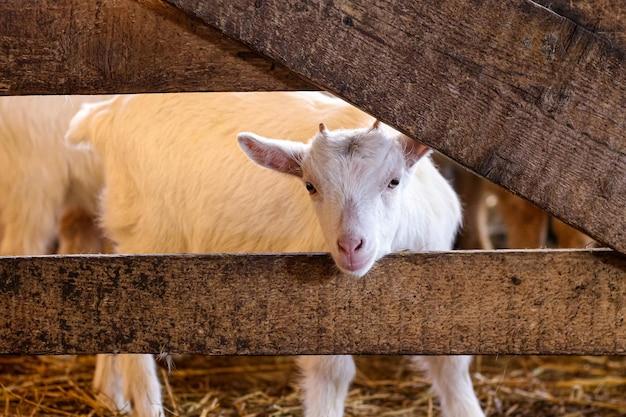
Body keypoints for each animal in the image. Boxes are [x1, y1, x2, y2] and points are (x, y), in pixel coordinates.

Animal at [67, 92, 482, 416]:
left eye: (393, 181)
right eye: (310, 186)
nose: (350, 246)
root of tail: (108, 113)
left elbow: (451, 363)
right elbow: (332, 373)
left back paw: (109, 392)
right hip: (146, 240)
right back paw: (143, 403)